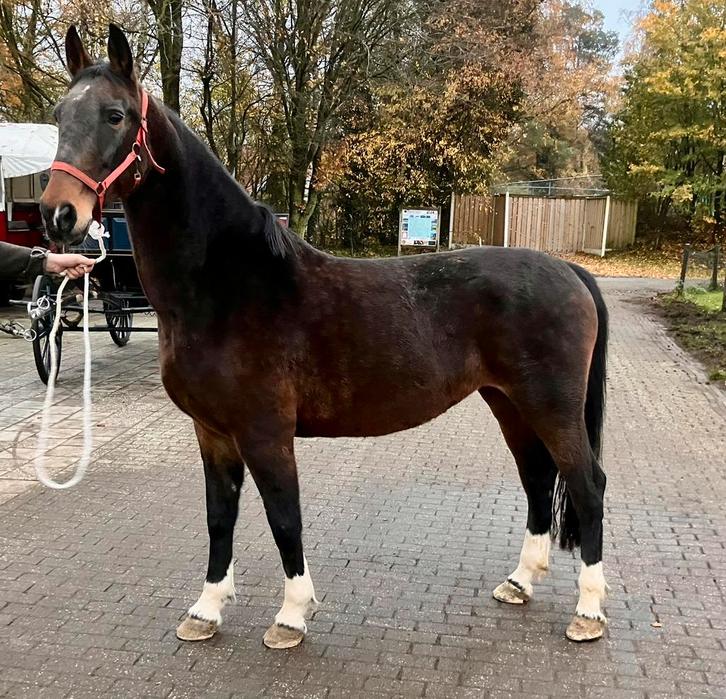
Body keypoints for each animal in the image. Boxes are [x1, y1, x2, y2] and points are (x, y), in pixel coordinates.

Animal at [40, 25, 609, 648]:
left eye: (115, 115)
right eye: (59, 115)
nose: (58, 215)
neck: (228, 283)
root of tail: (569, 271)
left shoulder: (265, 432)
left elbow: (284, 516)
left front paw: (291, 615)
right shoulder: (211, 432)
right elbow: (220, 517)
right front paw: (207, 609)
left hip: (550, 407)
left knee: (586, 485)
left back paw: (588, 611)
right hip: (509, 403)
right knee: (537, 479)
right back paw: (519, 583)